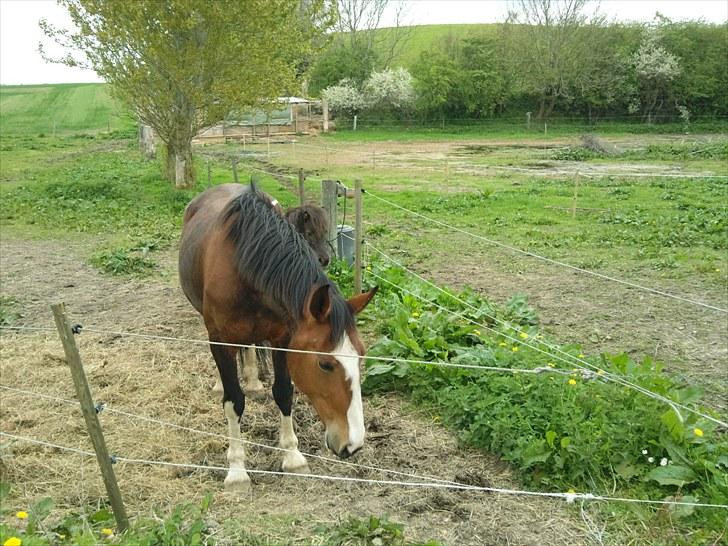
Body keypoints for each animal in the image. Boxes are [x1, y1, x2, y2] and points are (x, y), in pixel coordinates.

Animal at [181, 183, 376, 488]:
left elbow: (284, 392)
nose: (353, 444)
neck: (243, 266)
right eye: (325, 364)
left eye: (361, 356)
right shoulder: (222, 340)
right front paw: (237, 470)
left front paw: (293, 457)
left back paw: (252, 379)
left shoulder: (283, 341)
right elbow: (233, 401)